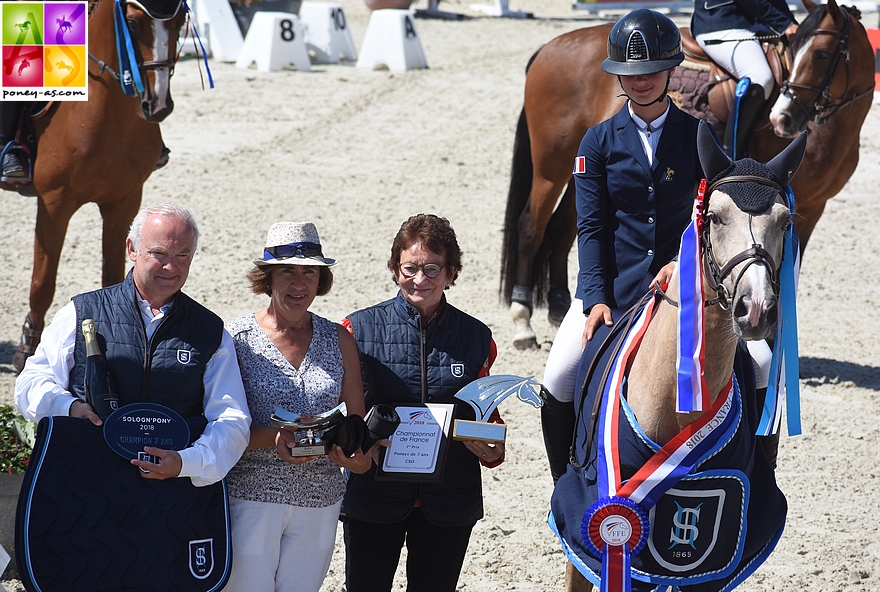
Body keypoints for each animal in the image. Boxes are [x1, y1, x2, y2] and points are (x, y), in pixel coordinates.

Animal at [9, 0, 189, 370]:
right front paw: (27, 348)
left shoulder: (125, 202)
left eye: (180, 22)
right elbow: (43, 282)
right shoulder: (54, 204)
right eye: (132, 23)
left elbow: (115, 274)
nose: (159, 105)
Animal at [498, 0, 876, 350]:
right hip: (552, 165)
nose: (782, 119)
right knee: (531, 225)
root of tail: (549, 47)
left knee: (564, 227)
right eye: (804, 51)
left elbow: (785, 274)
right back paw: (522, 322)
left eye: (822, 53)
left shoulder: (809, 208)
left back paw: (562, 308)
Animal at [552, 122, 808, 588]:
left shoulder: (714, 560)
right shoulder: (608, 539)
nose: (756, 309)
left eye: (785, 221)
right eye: (715, 217)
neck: (677, 401)